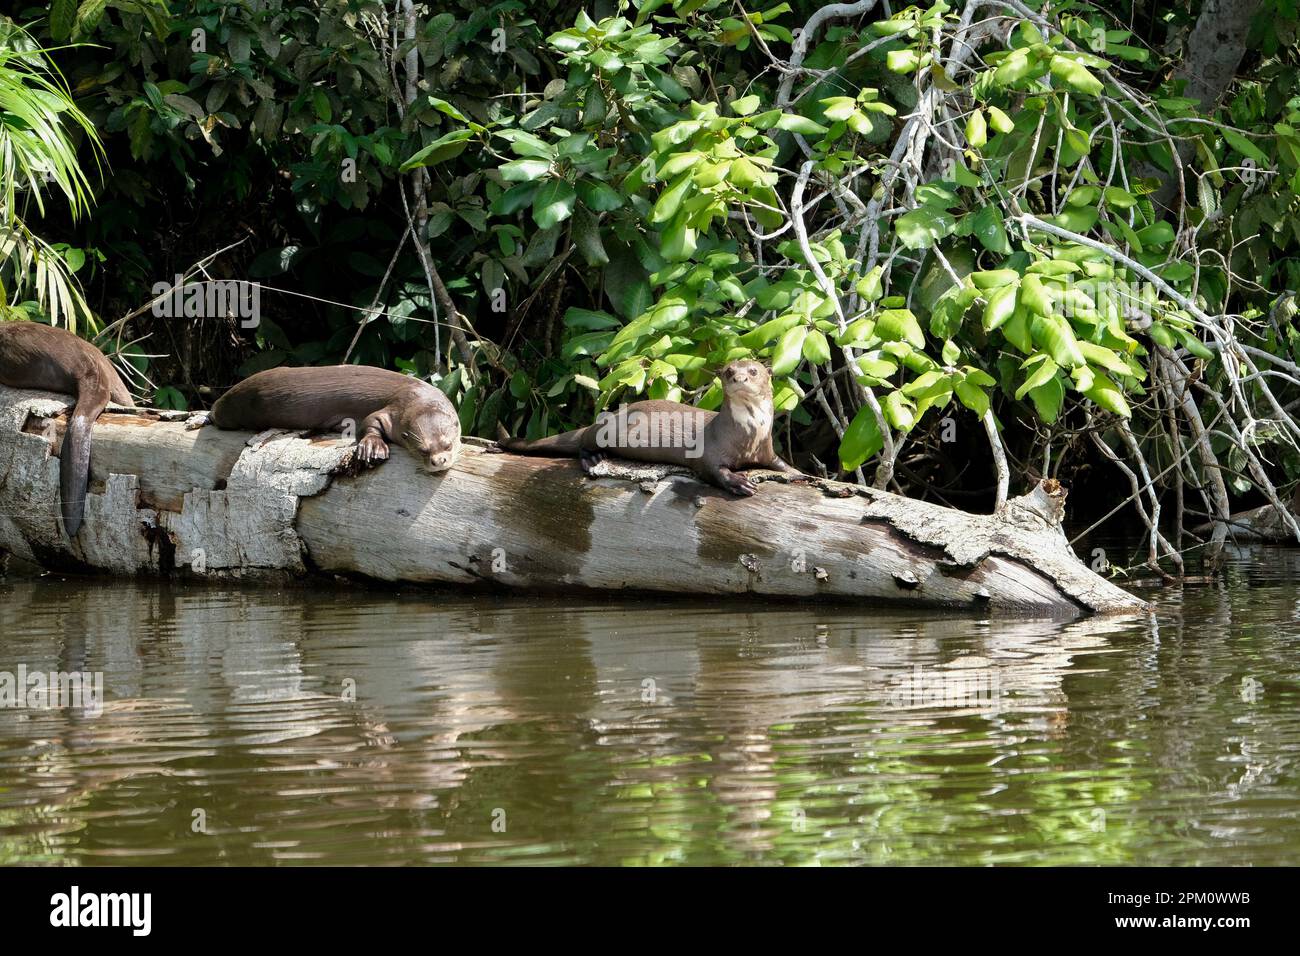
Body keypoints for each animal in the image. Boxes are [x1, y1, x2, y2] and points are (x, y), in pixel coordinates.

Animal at [209, 364, 462, 473]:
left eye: (448, 445)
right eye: (422, 450)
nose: (438, 461)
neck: (417, 395)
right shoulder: (394, 411)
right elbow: (370, 422)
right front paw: (373, 448)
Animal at [496, 356, 800, 496]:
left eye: (753, 371)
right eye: (728, 372)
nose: (739, 378)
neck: (749, 435)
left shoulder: (765, 449)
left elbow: (781, 464)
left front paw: (798, 474)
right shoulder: (709, 451)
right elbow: (713, 470)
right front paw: (739, 482)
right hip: (605, 431)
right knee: (584, 441)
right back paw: (593, 458)